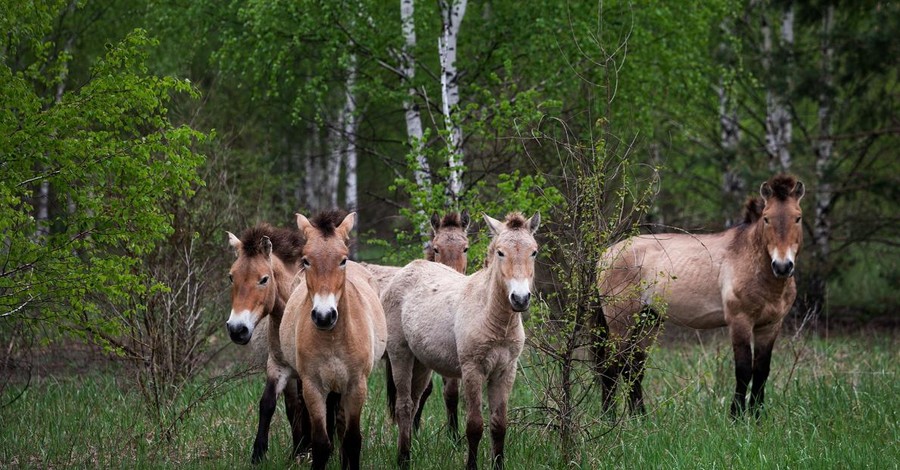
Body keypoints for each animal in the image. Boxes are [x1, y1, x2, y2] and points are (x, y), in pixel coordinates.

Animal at [225, 222, 310, 460]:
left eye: (264, 279)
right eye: (231, 277)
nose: (237, 329)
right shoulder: (277, 367)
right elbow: (268, 403)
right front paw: (259, 453)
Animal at [286, 211, 388, 468]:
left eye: (342, 260)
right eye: (306, 260)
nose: (324, 316)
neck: (332, 339)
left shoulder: (356, 386)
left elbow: (352, 440)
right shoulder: (313, 387)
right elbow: (321, 442)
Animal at [382, 213, 536, 470]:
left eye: (534, 252)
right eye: (500, 252)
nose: (520, 298)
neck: (492, 316)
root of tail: (408, 269)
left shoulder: (505, 371)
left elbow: (499, 425)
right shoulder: (472, 369)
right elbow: (474, 425)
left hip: (422, 364)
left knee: (414, 402)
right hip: (400, 355)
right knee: (404, 406)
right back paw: (403, 459)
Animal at [596, 174, 800, 416]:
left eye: (797, 218)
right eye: (767, 219)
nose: (782, 266)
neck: (750, 259)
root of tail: (606, 255)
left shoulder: (769, 326)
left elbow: (761, 372)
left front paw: (757, 417)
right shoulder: (739, 322)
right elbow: (743, 370)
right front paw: (736, 416)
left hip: (648, 321)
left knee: (633, 369)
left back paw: (640, 418)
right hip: (621, 324)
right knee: (611, 368)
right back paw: (608, 418)